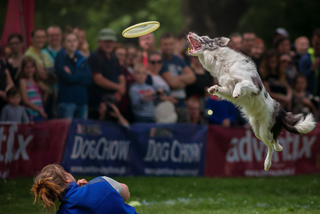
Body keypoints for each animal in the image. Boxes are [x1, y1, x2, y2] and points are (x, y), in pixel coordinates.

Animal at [188, 31, 316, 171]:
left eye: (203, 37)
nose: (190, 32)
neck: (222, 62)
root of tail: (282, 112)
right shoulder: (228, 88)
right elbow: (223, 89)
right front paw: (213, 88)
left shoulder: (253, 85)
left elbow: (240, 84)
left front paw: (237, 92)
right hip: (257, 130)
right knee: (274, 141)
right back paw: (279, 148)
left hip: (264, 130)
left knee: (271, 145)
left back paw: (267, 163)